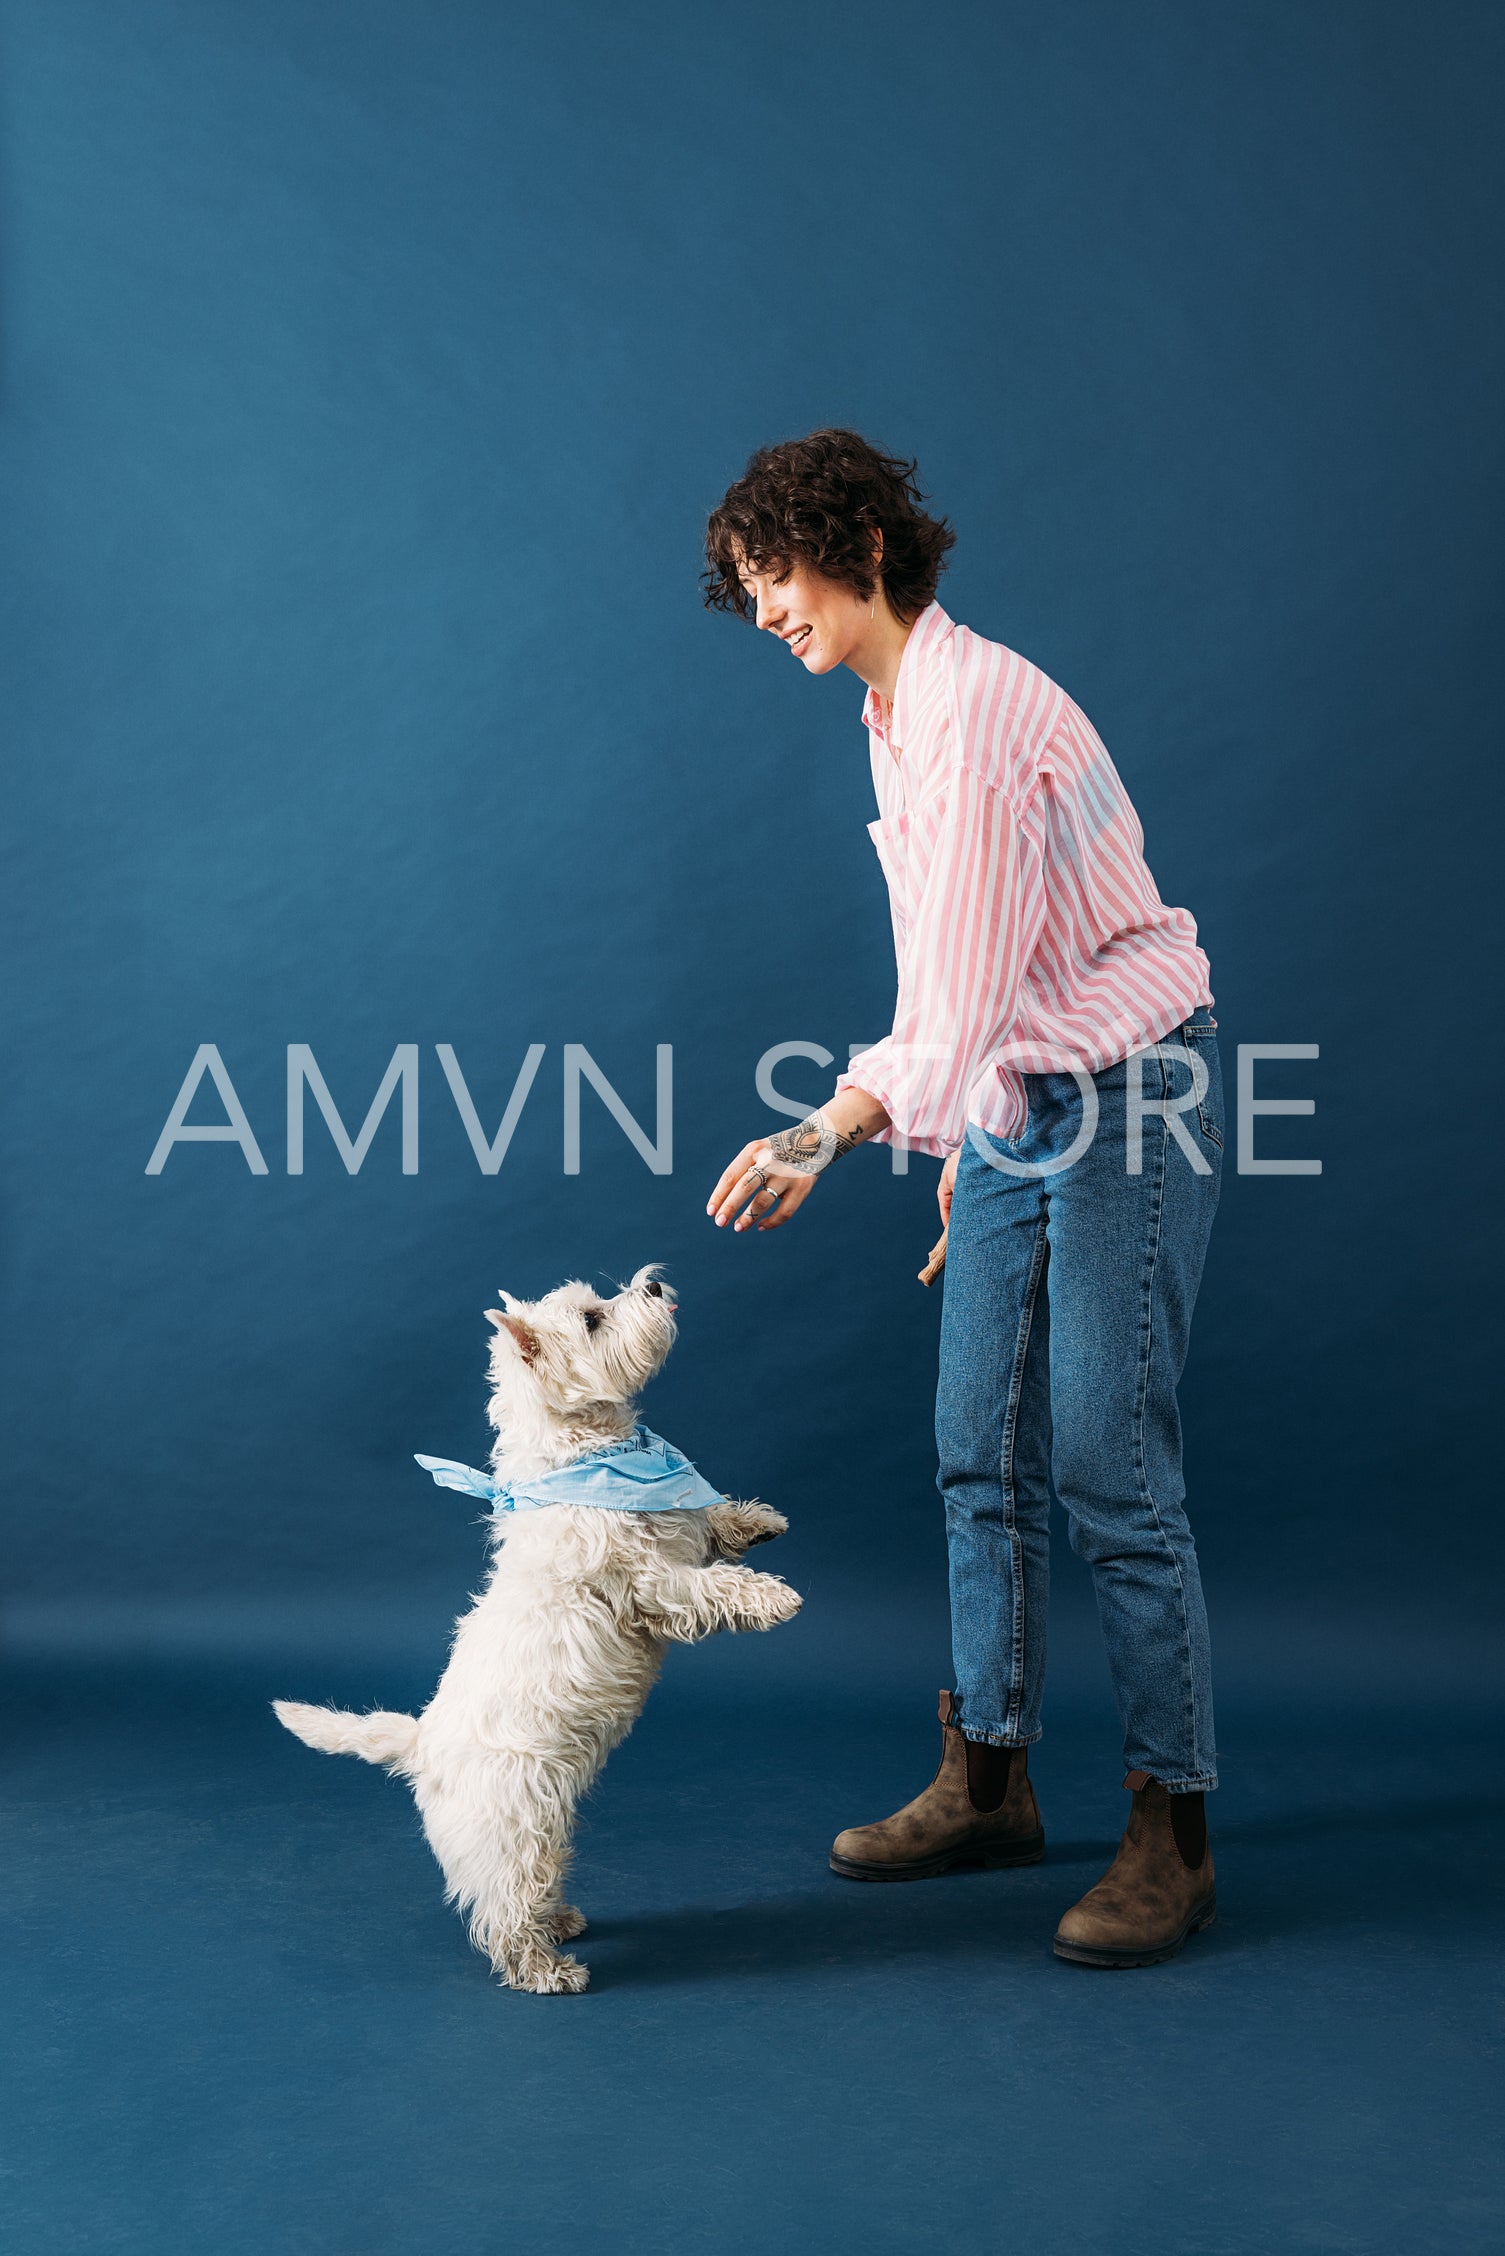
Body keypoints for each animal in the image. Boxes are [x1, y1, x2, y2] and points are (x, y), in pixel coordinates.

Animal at [278, 1272, 807, 1994]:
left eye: (600, 1300)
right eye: (592, 1319)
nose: (653, 1282)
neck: (590, 1457)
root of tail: (421, 1747)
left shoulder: (676, 1535)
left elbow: (708, 1521)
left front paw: (756, 1522)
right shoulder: (651, 1583)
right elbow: (709, 1587)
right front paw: (773, 1595)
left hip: (546, 1824)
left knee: (536, 1885)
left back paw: (560, 1922)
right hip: (516, 1825)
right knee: (505, 1906)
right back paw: (545, 1969)